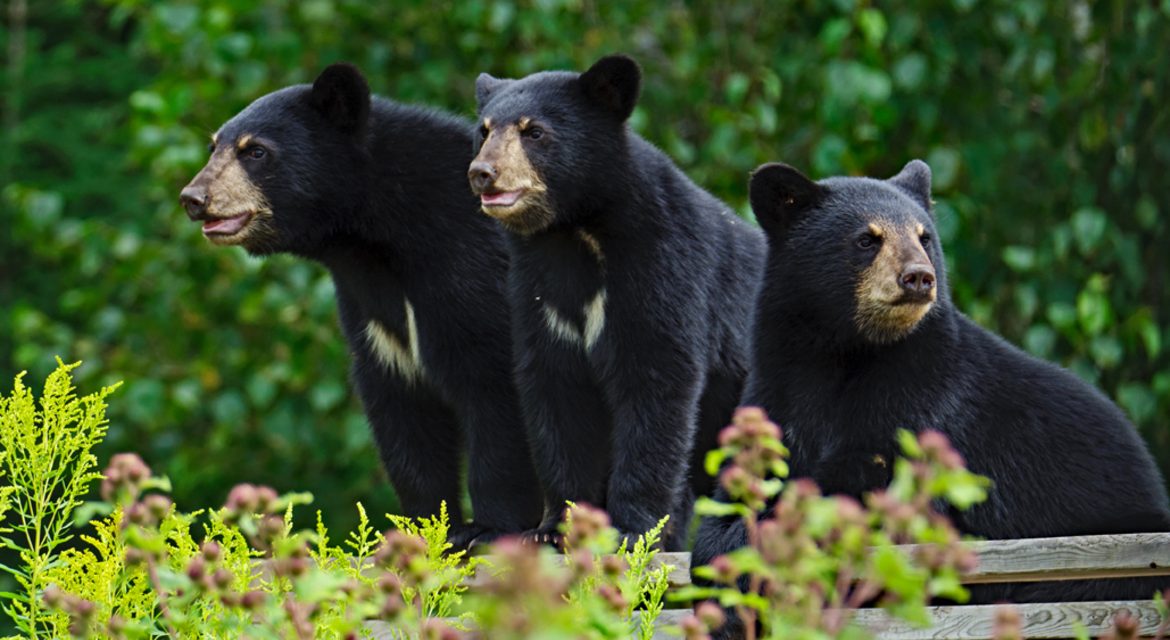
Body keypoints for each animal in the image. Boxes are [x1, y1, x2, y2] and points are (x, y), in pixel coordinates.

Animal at [179, 63, 543, 549]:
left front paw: (487, 529)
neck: (372, 237)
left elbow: (495, 390)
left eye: (255, 151)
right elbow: (402, 414)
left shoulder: (474, 271)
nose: (194, 198)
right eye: (213, 146)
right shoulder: (372, 308)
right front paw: (426, 526)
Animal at [466, 54, 768, 550]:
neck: (577, 232)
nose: (482, 173)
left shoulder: (665, 269)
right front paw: (552, 529)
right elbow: (555, 390)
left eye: (534, 132)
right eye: (484, 130)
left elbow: (657, 382)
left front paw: (631, 529)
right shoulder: (538, 291)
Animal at [693, 159, 1170, 628]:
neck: (844, 350)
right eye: (867, 239)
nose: (919, 277)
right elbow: (741, 485)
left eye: (924, 237)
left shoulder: (925, 397)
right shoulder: (777, 385)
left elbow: (871, 487)